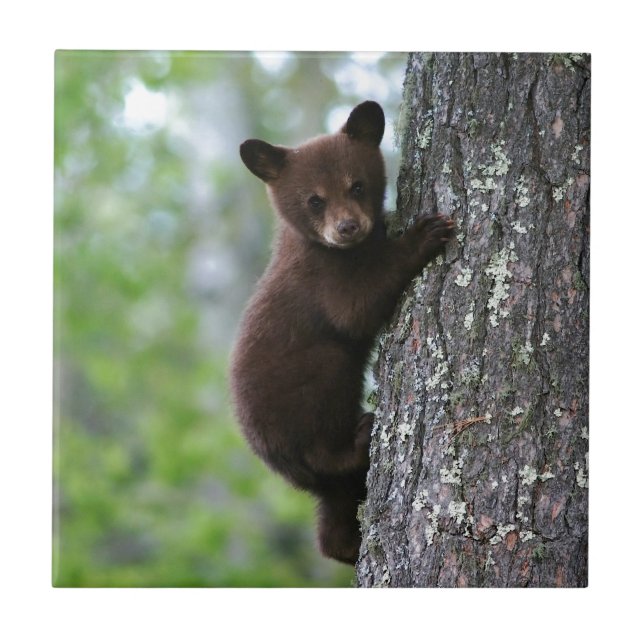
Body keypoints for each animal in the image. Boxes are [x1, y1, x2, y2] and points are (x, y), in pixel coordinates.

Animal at [230, 101, 454, 565]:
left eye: (357, 185)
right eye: (314, 200)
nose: (347, 227)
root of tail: (277, 462)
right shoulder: (322, 280)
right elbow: (356, 309)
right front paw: (423, 234)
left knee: (333, 513)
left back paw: (346, 546)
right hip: (309, 391)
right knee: (327, 437)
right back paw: (361, 434)